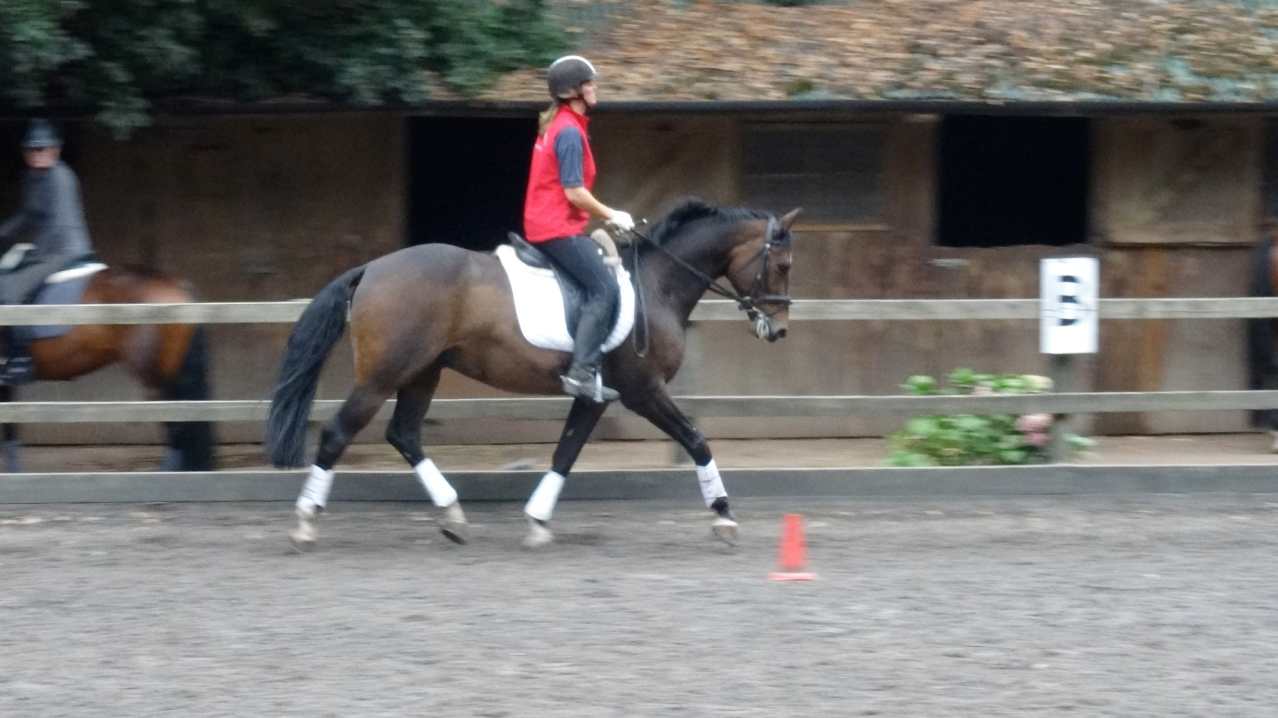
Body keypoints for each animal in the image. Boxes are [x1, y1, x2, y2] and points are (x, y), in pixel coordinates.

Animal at [265, 199, 800, 549]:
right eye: (783, 265)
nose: (778, 329)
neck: (656, 285)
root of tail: (372, 269)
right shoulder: (643, 391)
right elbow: (696, 439)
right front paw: (724, 515)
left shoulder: (595, 395)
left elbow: (566, 452)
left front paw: (538, 520)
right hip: (382, 376)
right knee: (338, 433)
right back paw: (305, 521)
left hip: (423, 371)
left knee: (405, 434)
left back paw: (453, 516)